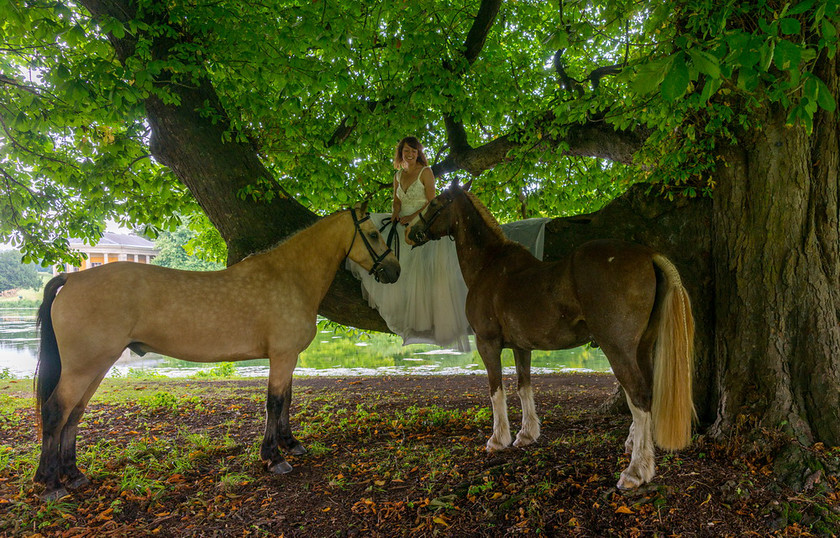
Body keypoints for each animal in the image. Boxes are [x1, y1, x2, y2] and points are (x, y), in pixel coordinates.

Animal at [33, 202, 400, 498]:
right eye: (373, 234)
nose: (394, 271)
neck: (289, 277)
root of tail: (72, 278)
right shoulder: (282, 356)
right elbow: (274, 402)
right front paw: (273, 458)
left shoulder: (290, 357)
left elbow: (287, 400)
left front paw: (291, 444)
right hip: (83, 367)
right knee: (55, 412)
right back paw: (50, 485)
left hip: (96, 366)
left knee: (74, 414)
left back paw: (73, 475)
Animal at [408, 182, 696, 488]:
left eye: (435, 202)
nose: (410, 231)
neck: (489, 266)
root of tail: (648, 255)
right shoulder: (521, 347)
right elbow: (523, 387)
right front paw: (526, 435)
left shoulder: (488, 343)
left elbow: (496, 390)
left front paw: (498, 439)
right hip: (643, 348)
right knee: (647, 393)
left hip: (618, 350)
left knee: (639, 399)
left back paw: (636, 471)